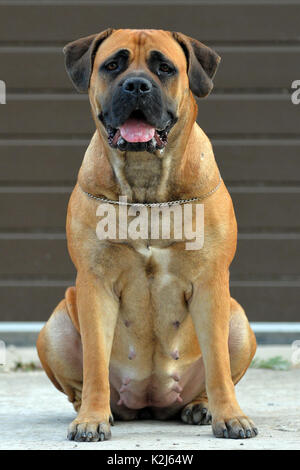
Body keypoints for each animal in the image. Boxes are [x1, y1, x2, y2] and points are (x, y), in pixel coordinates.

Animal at [37, 28, 258, 440]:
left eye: (164, 67)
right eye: (112, 65)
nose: (137, 85)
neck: (147, 187)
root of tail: (150, 401)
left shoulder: (211, 283)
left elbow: (218, 364)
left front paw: (231, 416)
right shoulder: (95, 283)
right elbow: (94, 360)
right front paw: (92, 418)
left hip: (238, 319)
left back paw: (200, 406)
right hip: (56, 325)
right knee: (80, 385)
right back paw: (101, 410)